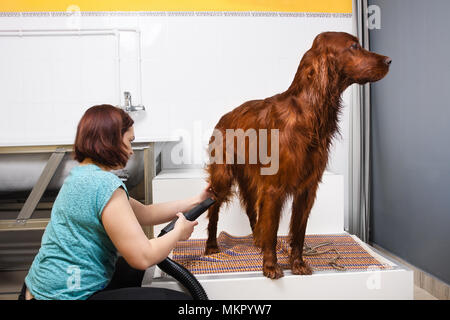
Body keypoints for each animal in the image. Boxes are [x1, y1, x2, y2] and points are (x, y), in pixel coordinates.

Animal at [204, 31, 390, 278]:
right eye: (353, 46)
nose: (389, 60)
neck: (308, 114)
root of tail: (224, 117)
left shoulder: (306, 189)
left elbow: (299, 232)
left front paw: (298, 263)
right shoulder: (274, 188)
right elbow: (273, 229)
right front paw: (271, 266)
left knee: (252, 210)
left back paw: (257, 241)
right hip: (223, 175)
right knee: (213, 208)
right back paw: (211, 246)